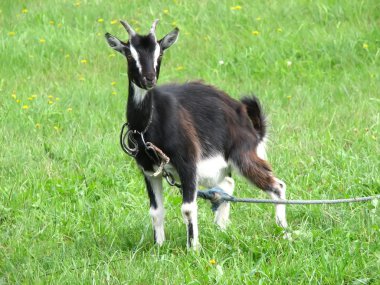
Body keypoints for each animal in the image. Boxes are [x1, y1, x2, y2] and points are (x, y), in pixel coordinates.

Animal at [105, 18, 286, 247]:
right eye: (129, 55)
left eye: (160, 53)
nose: (149, 79)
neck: (149, 126)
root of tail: (244, 116)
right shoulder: (149, 170)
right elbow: (156, 211)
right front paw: (159, 246)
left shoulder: (188, 163)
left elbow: (188, 209)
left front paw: (193, 248)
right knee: (228, 184)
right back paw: (221, 229)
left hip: (242, 156)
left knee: (277, 185)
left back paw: (284, 232)